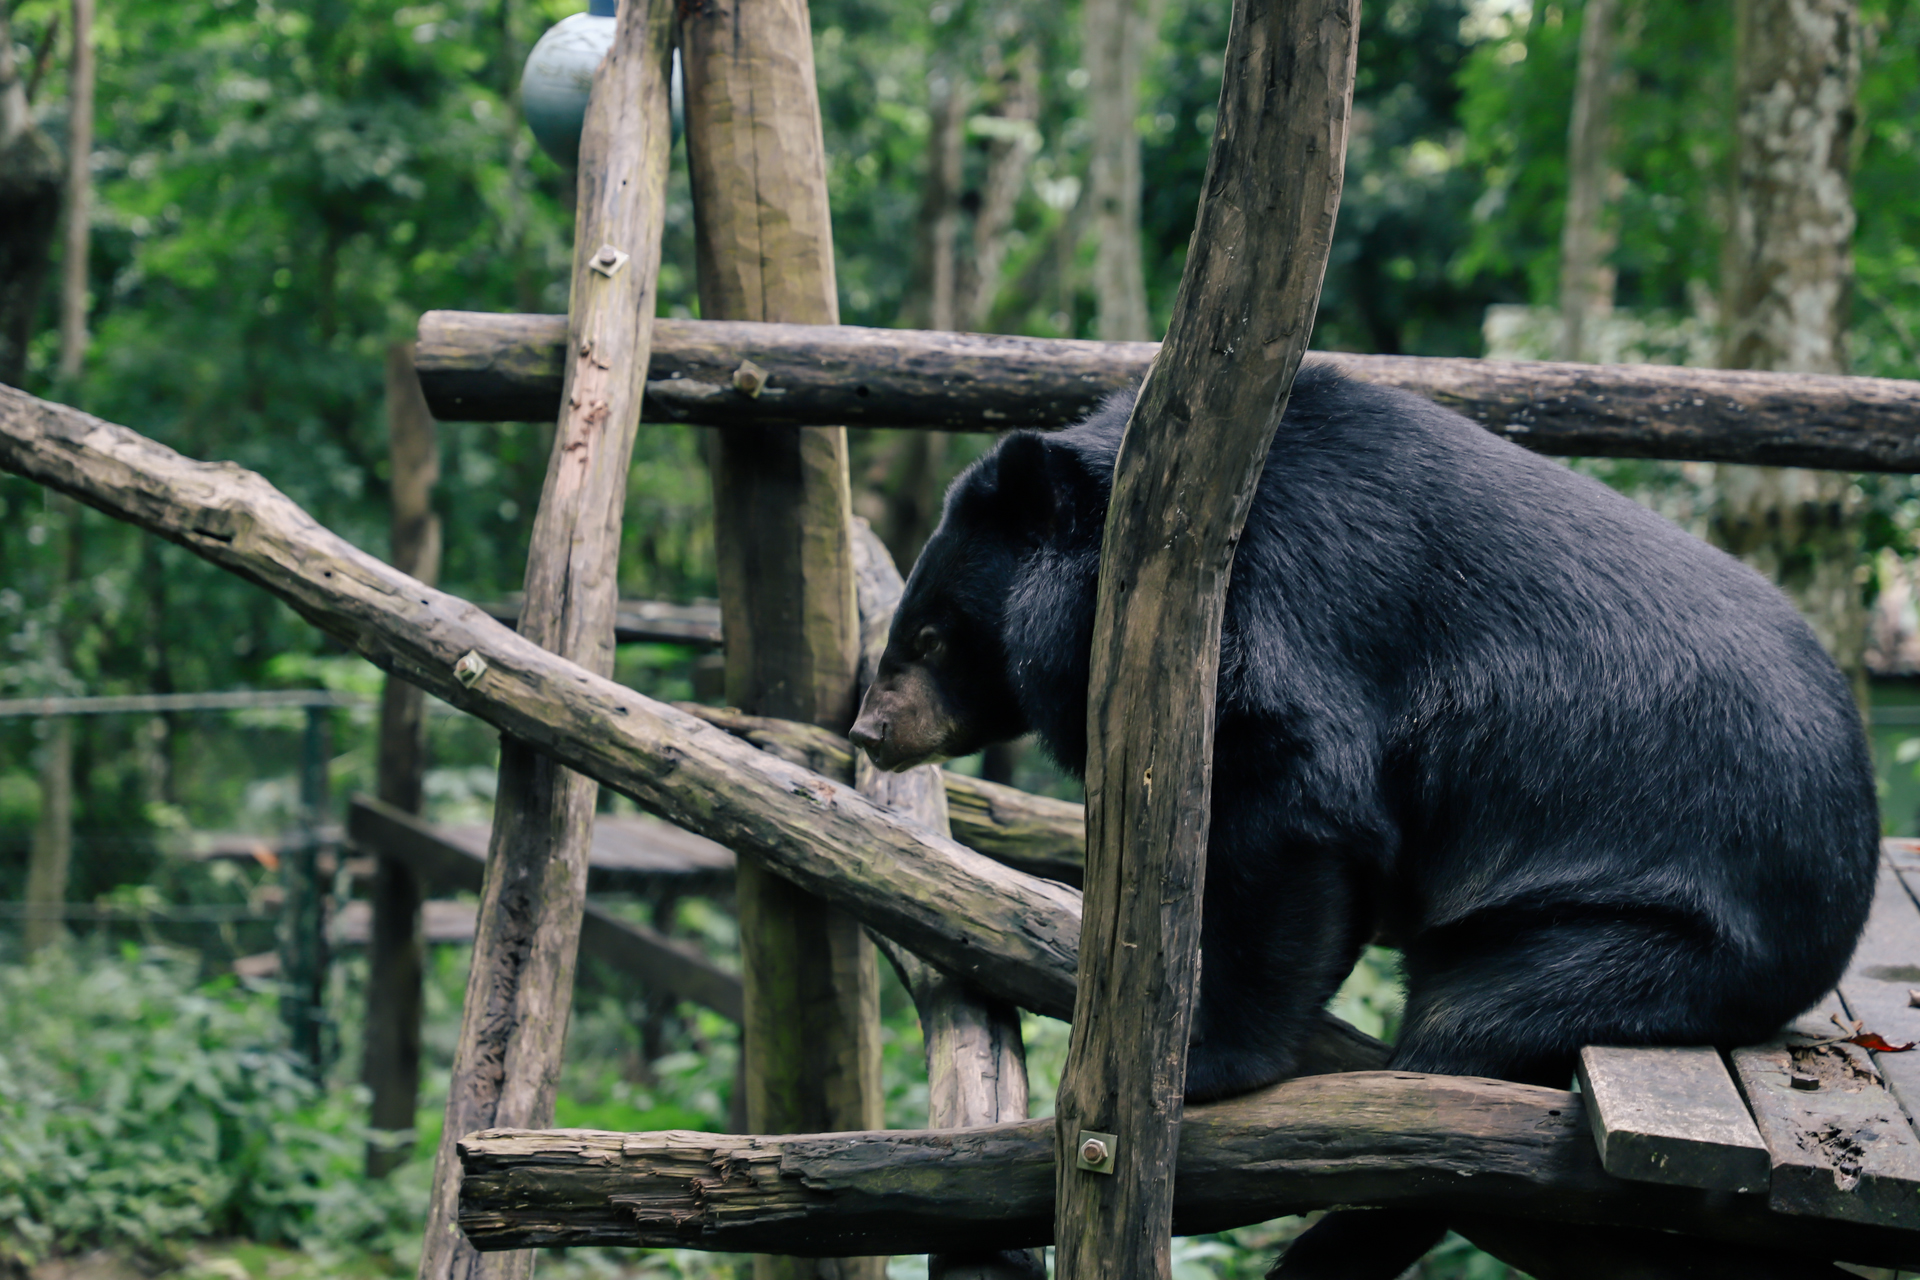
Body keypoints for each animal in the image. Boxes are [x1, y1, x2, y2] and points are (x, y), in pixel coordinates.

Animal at [852, 364, 1873, 1266]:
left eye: (930, 638)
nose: (869, 731)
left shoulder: (1287, 596)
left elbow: (1299, 808)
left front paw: (1207, 1063)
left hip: (1654, 924)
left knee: (1473, 1045)